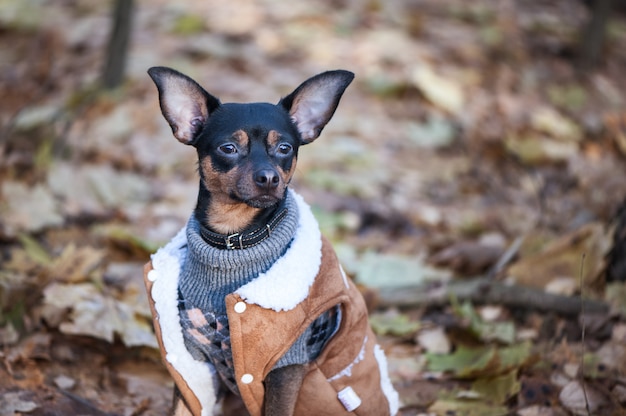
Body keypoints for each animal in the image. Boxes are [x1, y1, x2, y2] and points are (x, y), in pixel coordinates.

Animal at [141, 68, 398, 416]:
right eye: (228, 148)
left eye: (285, 148)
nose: (268, 178)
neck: (233, 241)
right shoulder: (193, 362)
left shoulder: (287, 366)